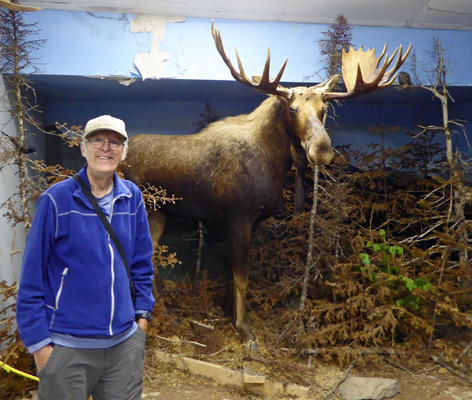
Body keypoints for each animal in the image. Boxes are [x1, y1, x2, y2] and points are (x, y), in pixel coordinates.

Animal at [121, 21, 410, 344]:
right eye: (292, 109)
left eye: (323, 110)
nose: (322, 150)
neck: (275, 165)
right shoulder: (238, 217)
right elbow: (241, 278)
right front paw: (244, 329)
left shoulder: (253, 220)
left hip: (158, 213)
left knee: (150, 262)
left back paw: (165, 315)